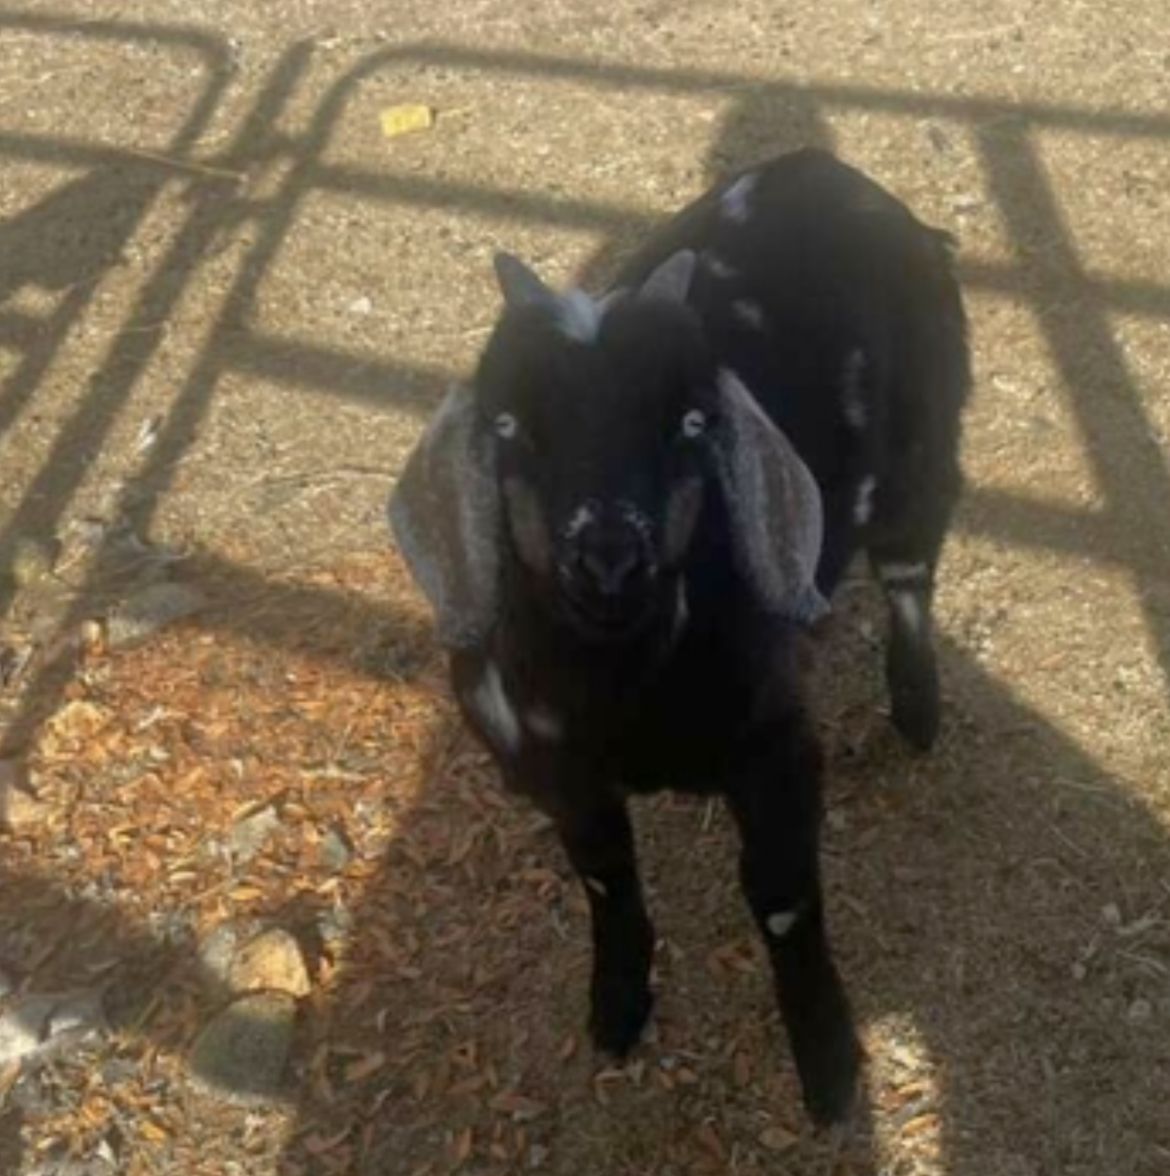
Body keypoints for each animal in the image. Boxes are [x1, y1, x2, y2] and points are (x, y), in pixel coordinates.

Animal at [389, 148, 969, 1124]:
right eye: (506, 424)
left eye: (694, 421)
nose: (610, 556)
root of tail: (830, 173)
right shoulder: (561, 778)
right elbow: (603, 876)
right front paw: (617, 1007)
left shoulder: (773, 744)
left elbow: (781, 900)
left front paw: (829, 1070)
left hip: (921, 451)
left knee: (910, 570)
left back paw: (917, 707)